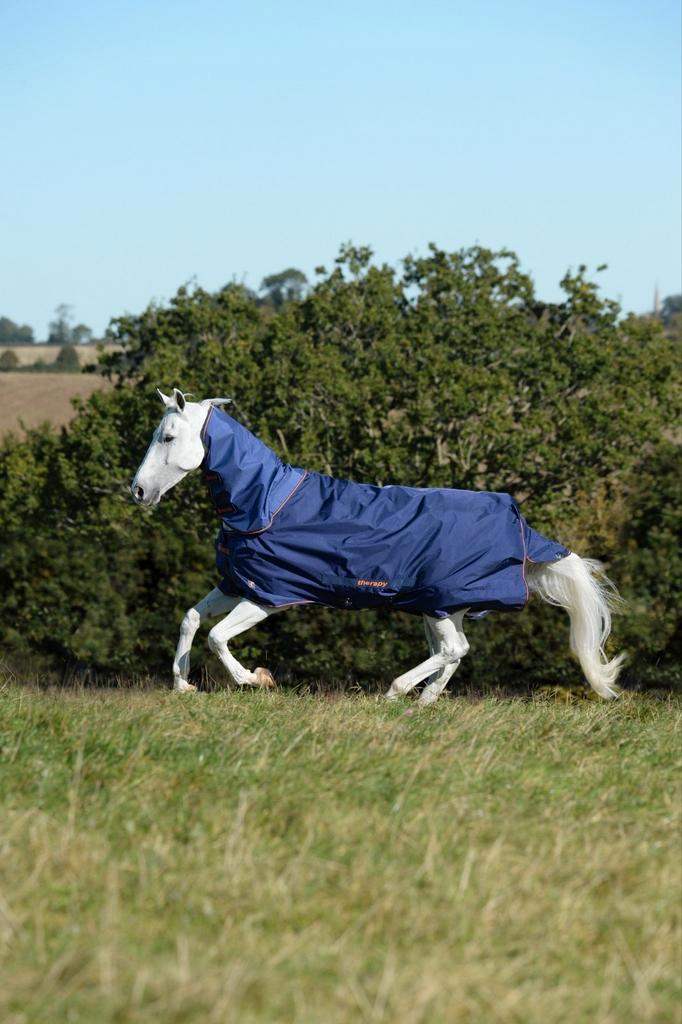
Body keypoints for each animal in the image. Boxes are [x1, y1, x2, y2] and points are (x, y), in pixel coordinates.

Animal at [131, 388, 625, 704]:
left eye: (168, 437)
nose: (136, 491)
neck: (264, 503)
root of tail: (522, 529)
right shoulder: (237, 582)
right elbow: (192, 619)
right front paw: (183, 685)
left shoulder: (270, 594)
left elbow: (217, 636)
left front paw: (255, 679)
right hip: (442, 606)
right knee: (456, 650)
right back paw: (425, 700)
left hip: (440, 602)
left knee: (452, 650)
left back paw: (397, 691)